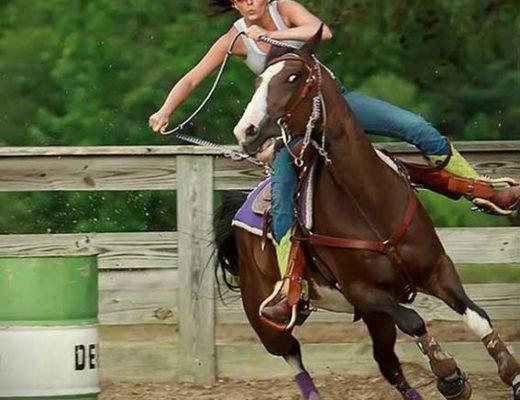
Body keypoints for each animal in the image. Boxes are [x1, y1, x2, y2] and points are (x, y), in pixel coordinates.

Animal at [213, 28, 516, 400]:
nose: (246, 131)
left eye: (293, 77)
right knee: (293, 354)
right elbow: (415, 321)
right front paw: (449, 375)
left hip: (375, 318)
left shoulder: (437, 268)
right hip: (269, 323)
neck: (369, 204)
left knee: (388, 364)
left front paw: (511, 373)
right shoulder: (364, 292)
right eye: (258, 81)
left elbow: (476, 315)